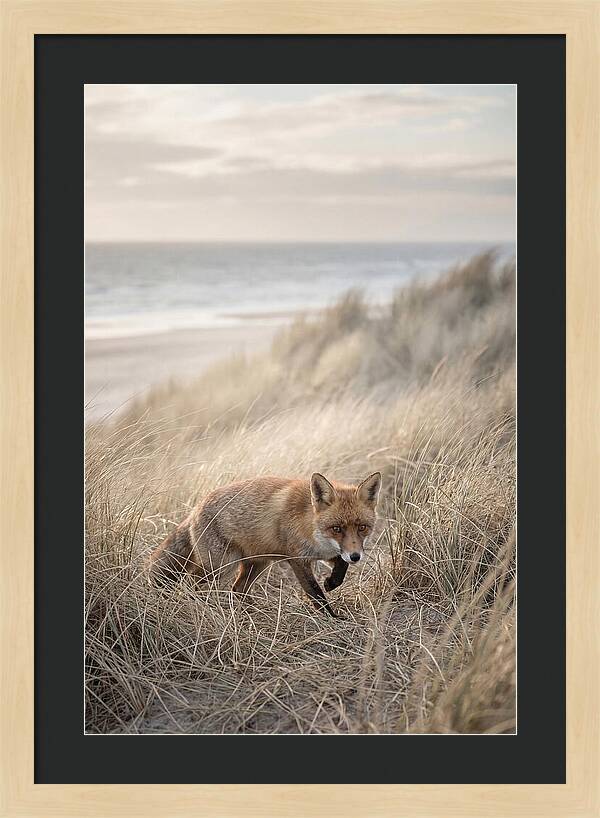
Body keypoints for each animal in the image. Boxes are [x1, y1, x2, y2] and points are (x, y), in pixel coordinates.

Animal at [149, 471, 382, 617]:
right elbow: (315, 593)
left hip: (257, 563)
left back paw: (250, 612)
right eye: (337, 529)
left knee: (237, 589)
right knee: (192, 584)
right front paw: (332, 618)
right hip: (221, 566)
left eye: (362, 527)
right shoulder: (297, 559)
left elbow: (340, 567)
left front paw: (332, 582)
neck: (311, 525)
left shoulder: (329, 553)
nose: (356, 557)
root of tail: (195, 509)